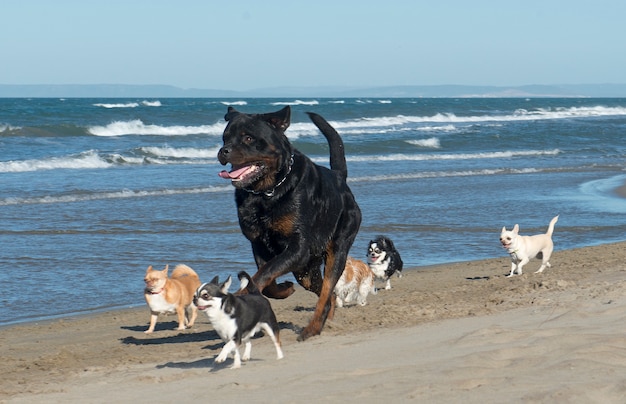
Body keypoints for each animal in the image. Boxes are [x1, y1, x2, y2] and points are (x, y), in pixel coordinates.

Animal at [216, 106, 358, 340]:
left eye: (248, 138)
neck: (267, 192)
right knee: (325, 293)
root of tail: (339, 178)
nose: (223, 151)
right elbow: (266, 278)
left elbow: (264, 273)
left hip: (338, 248)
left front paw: (241, 294)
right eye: (225, 138)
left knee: (327, 290)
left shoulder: (298, 248)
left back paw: (312, 328)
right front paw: (285, 289)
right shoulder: (259, 244)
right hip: (306, 271)